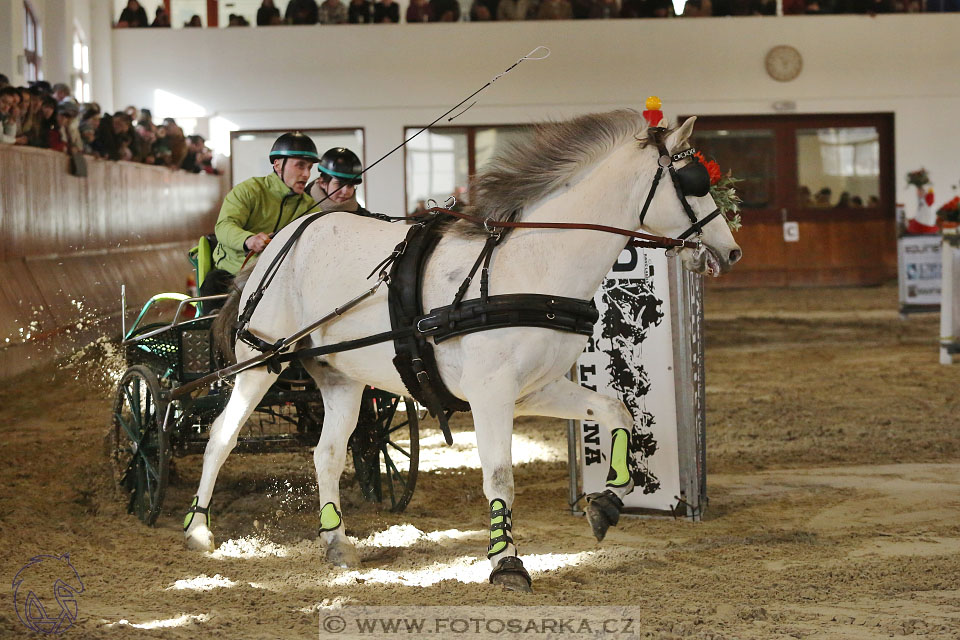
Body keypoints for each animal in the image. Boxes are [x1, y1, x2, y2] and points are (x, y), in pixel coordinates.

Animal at [182, 109, 744, 592]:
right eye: (693, 181)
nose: (731, 250)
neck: (531, 266)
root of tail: (283, 238)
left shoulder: (534, 391)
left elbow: (615, 409)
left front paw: (607, 502)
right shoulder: (490, 395)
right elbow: (500, 476)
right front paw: (506, 562)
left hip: (341, 377)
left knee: (327, 453)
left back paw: (336, 542)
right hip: (262, 362)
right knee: (222, 436)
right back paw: (198, 529)